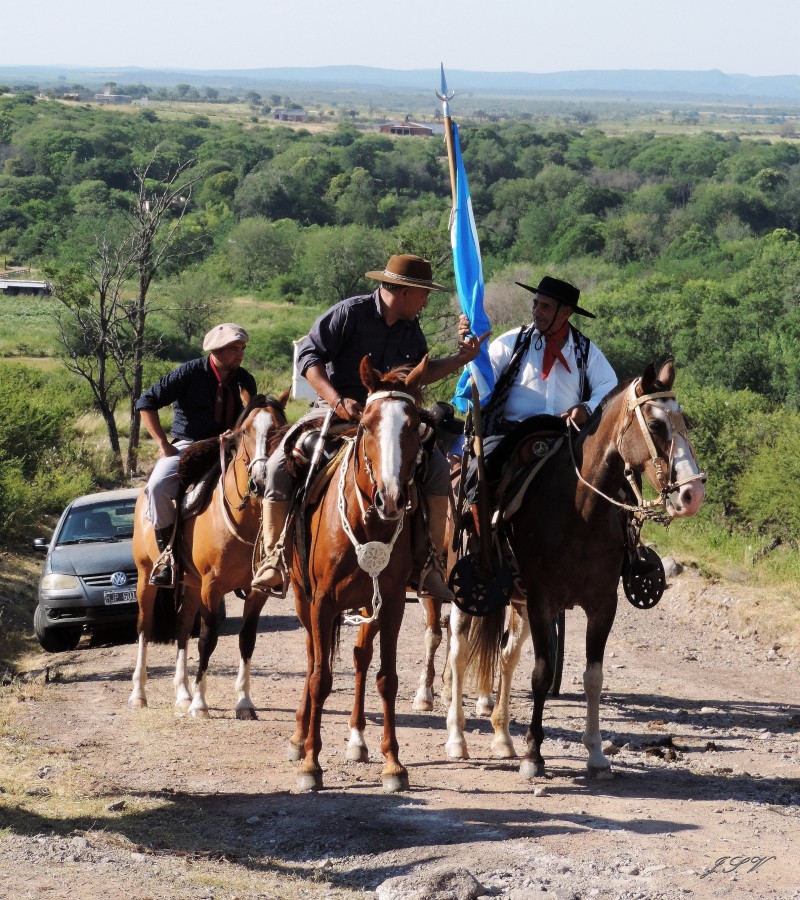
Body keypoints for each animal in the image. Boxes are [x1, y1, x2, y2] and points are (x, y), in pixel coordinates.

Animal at [126, 392, 286, 716]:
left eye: (279, 429)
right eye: (245, 431)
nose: (261, 480)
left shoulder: (256, 592)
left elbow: (247, 640)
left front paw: (244, 702)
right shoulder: (212, 587)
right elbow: (208, 640)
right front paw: (201, 704)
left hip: (190, 584)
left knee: (182, 627)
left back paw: (182, 693)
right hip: (145, 576)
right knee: (144, 628)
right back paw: (139, 694)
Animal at [286, 356, 428, 792]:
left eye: (414, 424)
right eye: (366, 423)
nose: (391, 498)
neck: (369, 526)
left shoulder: (394, 603)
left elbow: (387, 678)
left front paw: (393, 763)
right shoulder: (322, 602)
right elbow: (320, 677)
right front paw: (310, 763)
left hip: (369, 603)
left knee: (360, 656)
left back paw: (357, 739)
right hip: (302, 597)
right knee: (313, 657)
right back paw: (299, 736)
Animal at [444, 362, 708, 776]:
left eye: (684, 421)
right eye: (655, 424)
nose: (691, 494)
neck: (579, 509)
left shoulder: (602, 605)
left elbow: (593, 677)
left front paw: (596, 753)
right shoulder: (542, 602)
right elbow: (540, 674)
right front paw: (533, 754)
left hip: (516, 603)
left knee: (506, 656)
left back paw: (502, 738)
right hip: (464, 592)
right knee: (458, 652)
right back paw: (457, 738)